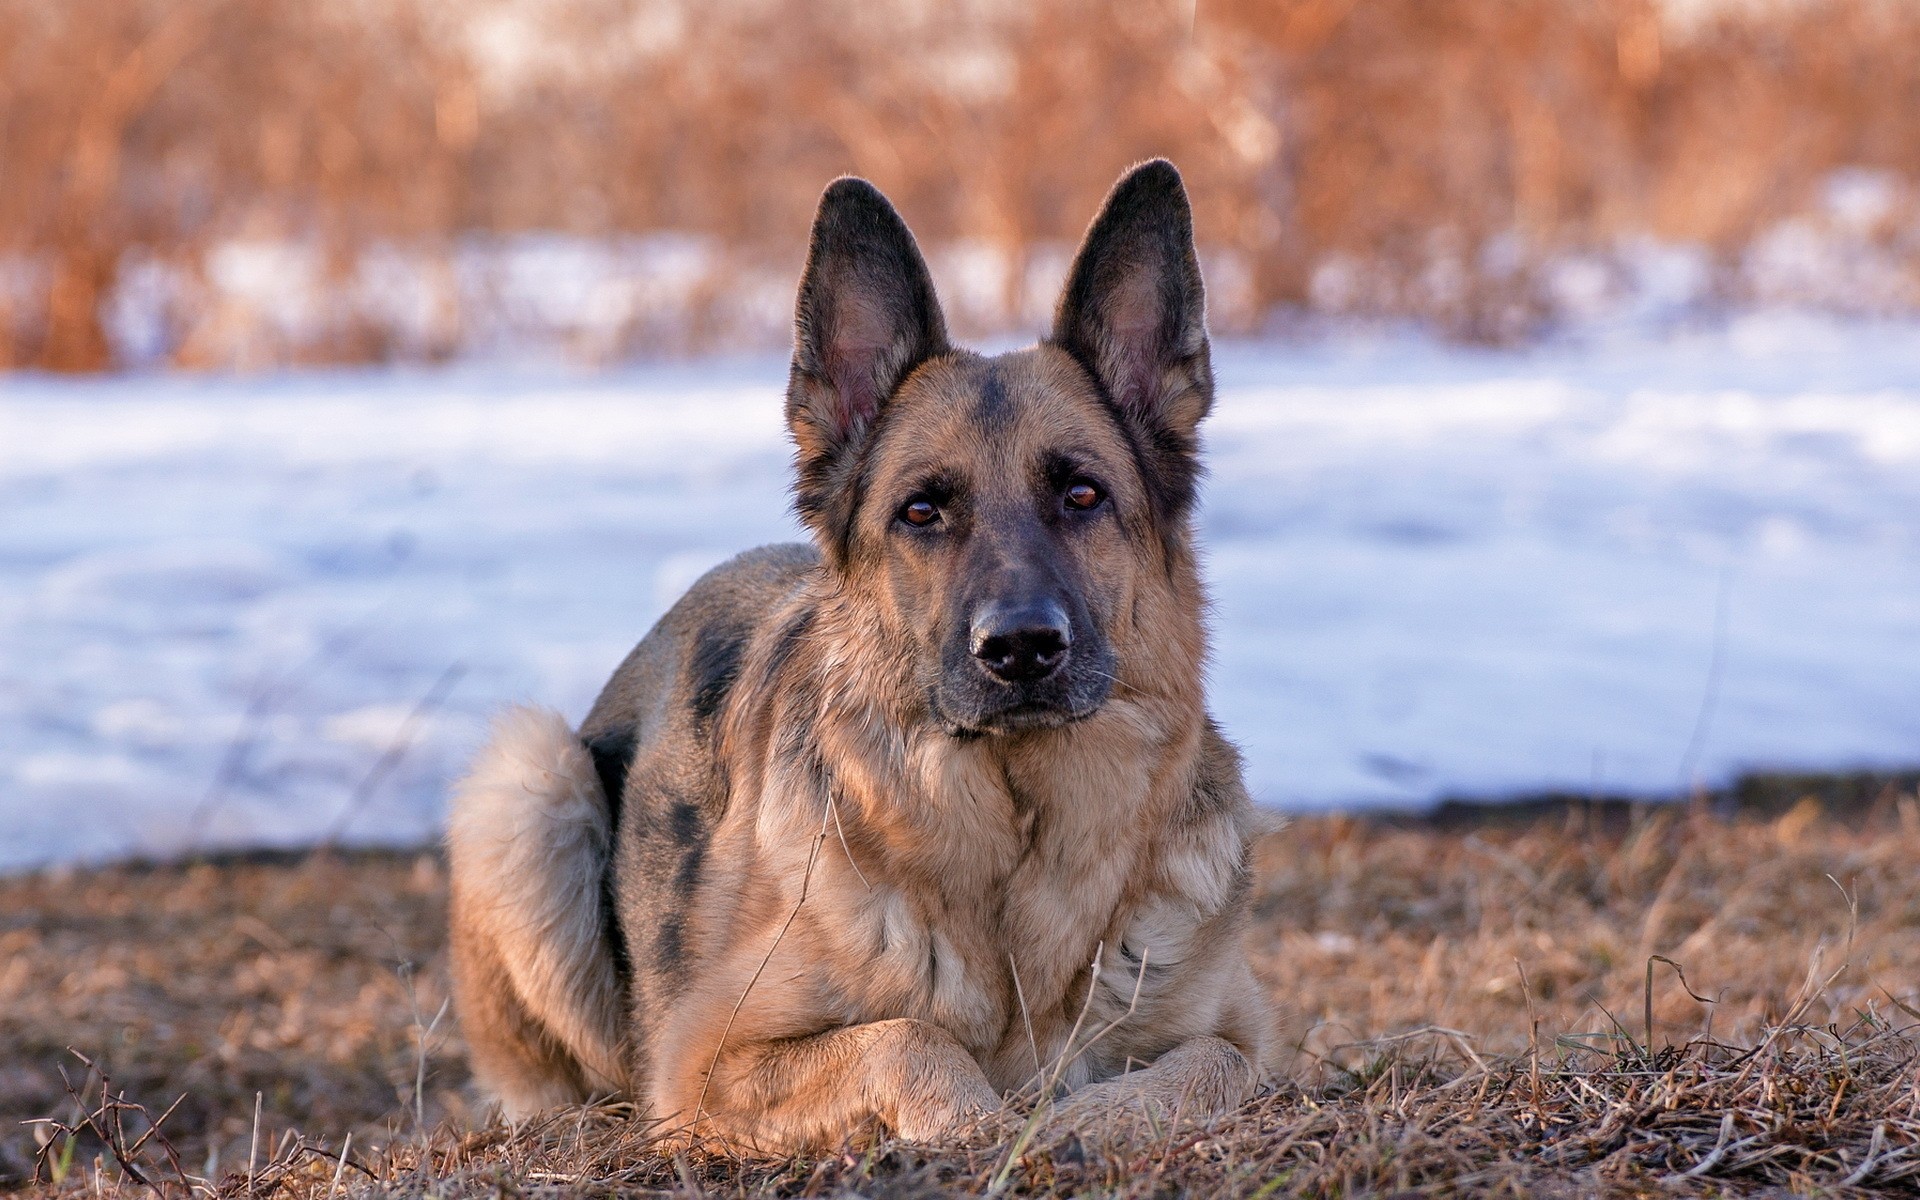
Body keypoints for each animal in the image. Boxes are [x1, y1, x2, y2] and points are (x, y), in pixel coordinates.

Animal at [441, 159, 1267, 1152]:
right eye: (921, 511)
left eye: (1082, 494)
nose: (1021, 648)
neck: (1016, 845)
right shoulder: (701, 1069)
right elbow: (906, 1037)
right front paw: (982, 1124)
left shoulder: (1251, 1041)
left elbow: (1212, 1064)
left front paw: (1093, 1116)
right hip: (527, 781)